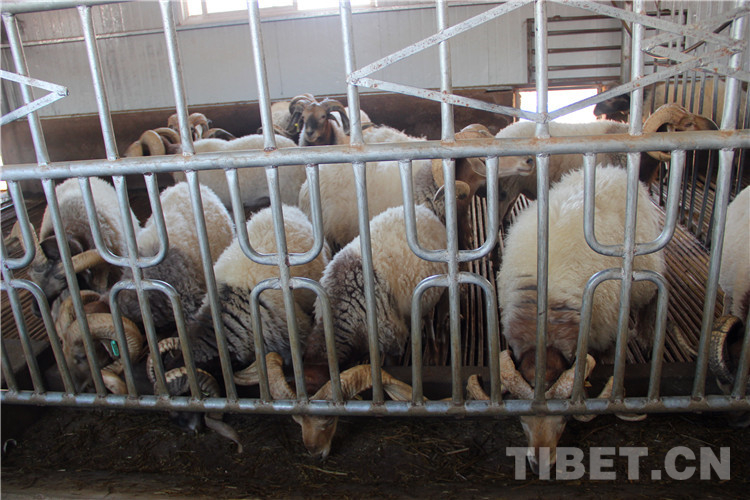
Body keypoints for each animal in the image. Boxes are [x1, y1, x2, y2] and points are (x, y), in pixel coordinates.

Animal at [493, 165, 665, 474]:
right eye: (522, 418)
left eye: (564, 419)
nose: (540, 464)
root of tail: (612, 169)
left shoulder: (603, 334)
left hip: (646, 273)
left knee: (652, 299)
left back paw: (647, 334)